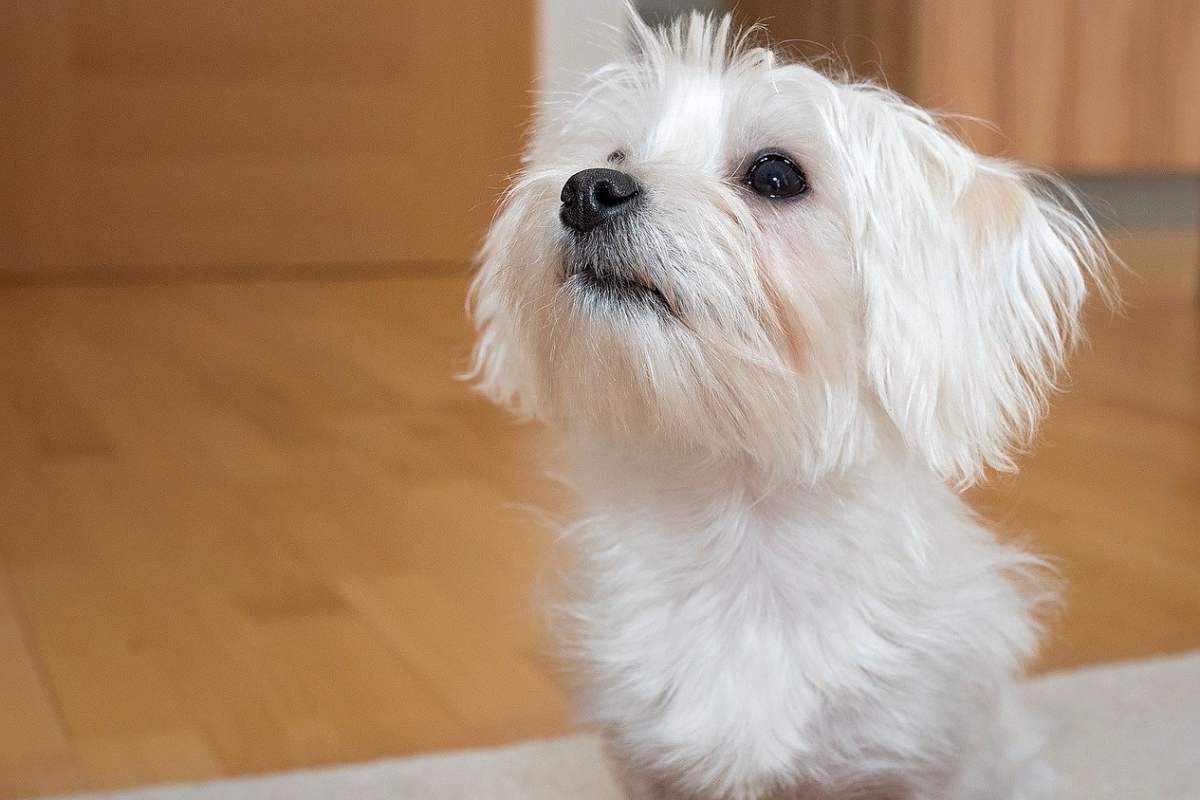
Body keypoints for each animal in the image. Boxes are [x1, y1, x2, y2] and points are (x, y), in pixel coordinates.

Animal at [470, 10, 1113, 800]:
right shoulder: (649, 761)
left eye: (776, 175)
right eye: (614, 152)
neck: (745, 530)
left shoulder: (919, 758)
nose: (587, 189)